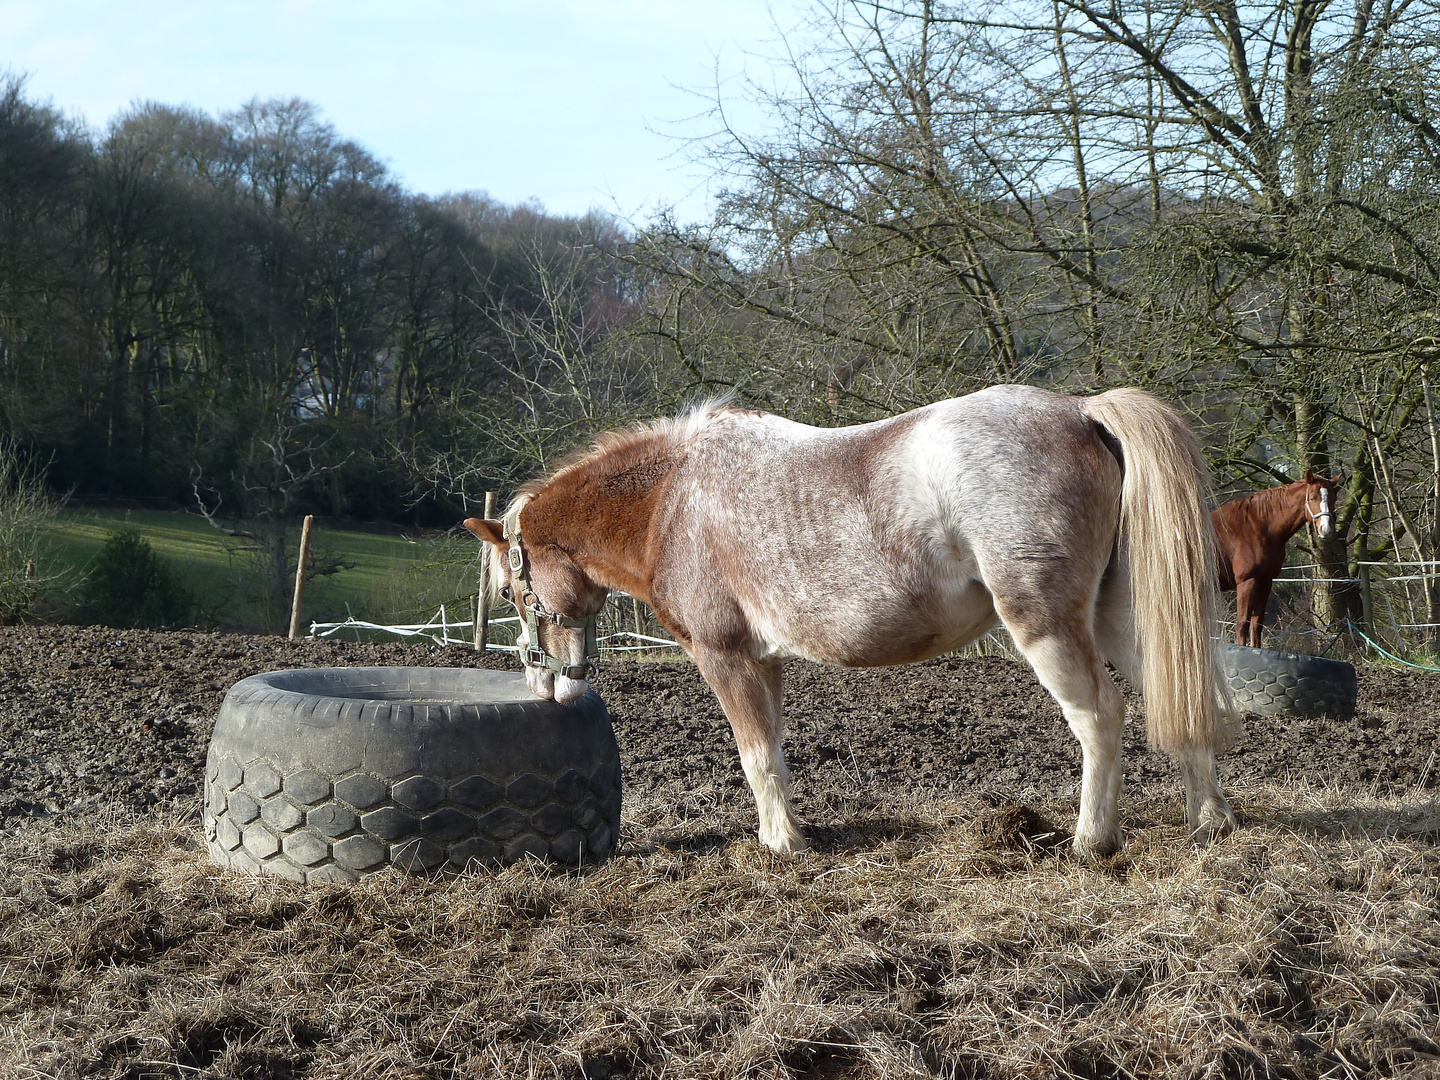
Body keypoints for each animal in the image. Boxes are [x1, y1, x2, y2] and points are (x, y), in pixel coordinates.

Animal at [463, 385, 1238, 858]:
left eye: (510, 592)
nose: (550, 685)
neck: (672, 501)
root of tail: (1082, 412)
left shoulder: (724, 655)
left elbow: (752, 752)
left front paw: (781, 845)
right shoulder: (765, 661)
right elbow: (772, 749)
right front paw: (791, 830)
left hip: (1045, 624)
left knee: (1100, 715)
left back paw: (1091, 839)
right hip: (1117, 618)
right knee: (1179, 693)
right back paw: (1208, 818)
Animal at [1209, 469, 1342, 648]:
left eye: (1333, 498)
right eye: (1313, 497)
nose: (1326, 530)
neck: (1259, 527)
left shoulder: (1265, 581)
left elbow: (1257, 625)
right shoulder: (1246, 581)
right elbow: (1242, 624)